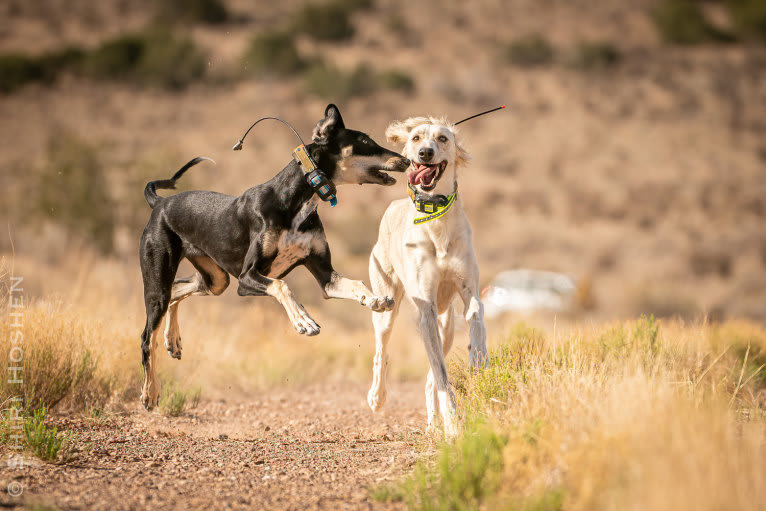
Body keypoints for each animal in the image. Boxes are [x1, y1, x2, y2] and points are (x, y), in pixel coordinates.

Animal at [140, 105, 412, 412]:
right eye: (365, 141)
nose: (407, 160)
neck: (295, 200)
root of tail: (160, 203)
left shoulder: (326, 277)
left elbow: (354, 284)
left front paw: (374, 299)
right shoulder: (247, 279)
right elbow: (283, 286)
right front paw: (304, 321)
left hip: (215, 280)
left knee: (177, 291)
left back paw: (172, 340)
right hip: (160, 283)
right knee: (147, 337)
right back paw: (150, 392)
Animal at [368, 117, 488, 440]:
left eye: (443, 138)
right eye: (416, 137)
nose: (425, 153)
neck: (437, 218)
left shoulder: (469, 291)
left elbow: (477, 320)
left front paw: (479, 359)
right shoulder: (426, 311)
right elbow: (444, 378)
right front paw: (454, 426)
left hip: (446, 326)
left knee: (430, 377)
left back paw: (435, 424)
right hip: (387, 307)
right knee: (382, 352)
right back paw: (377, 397)